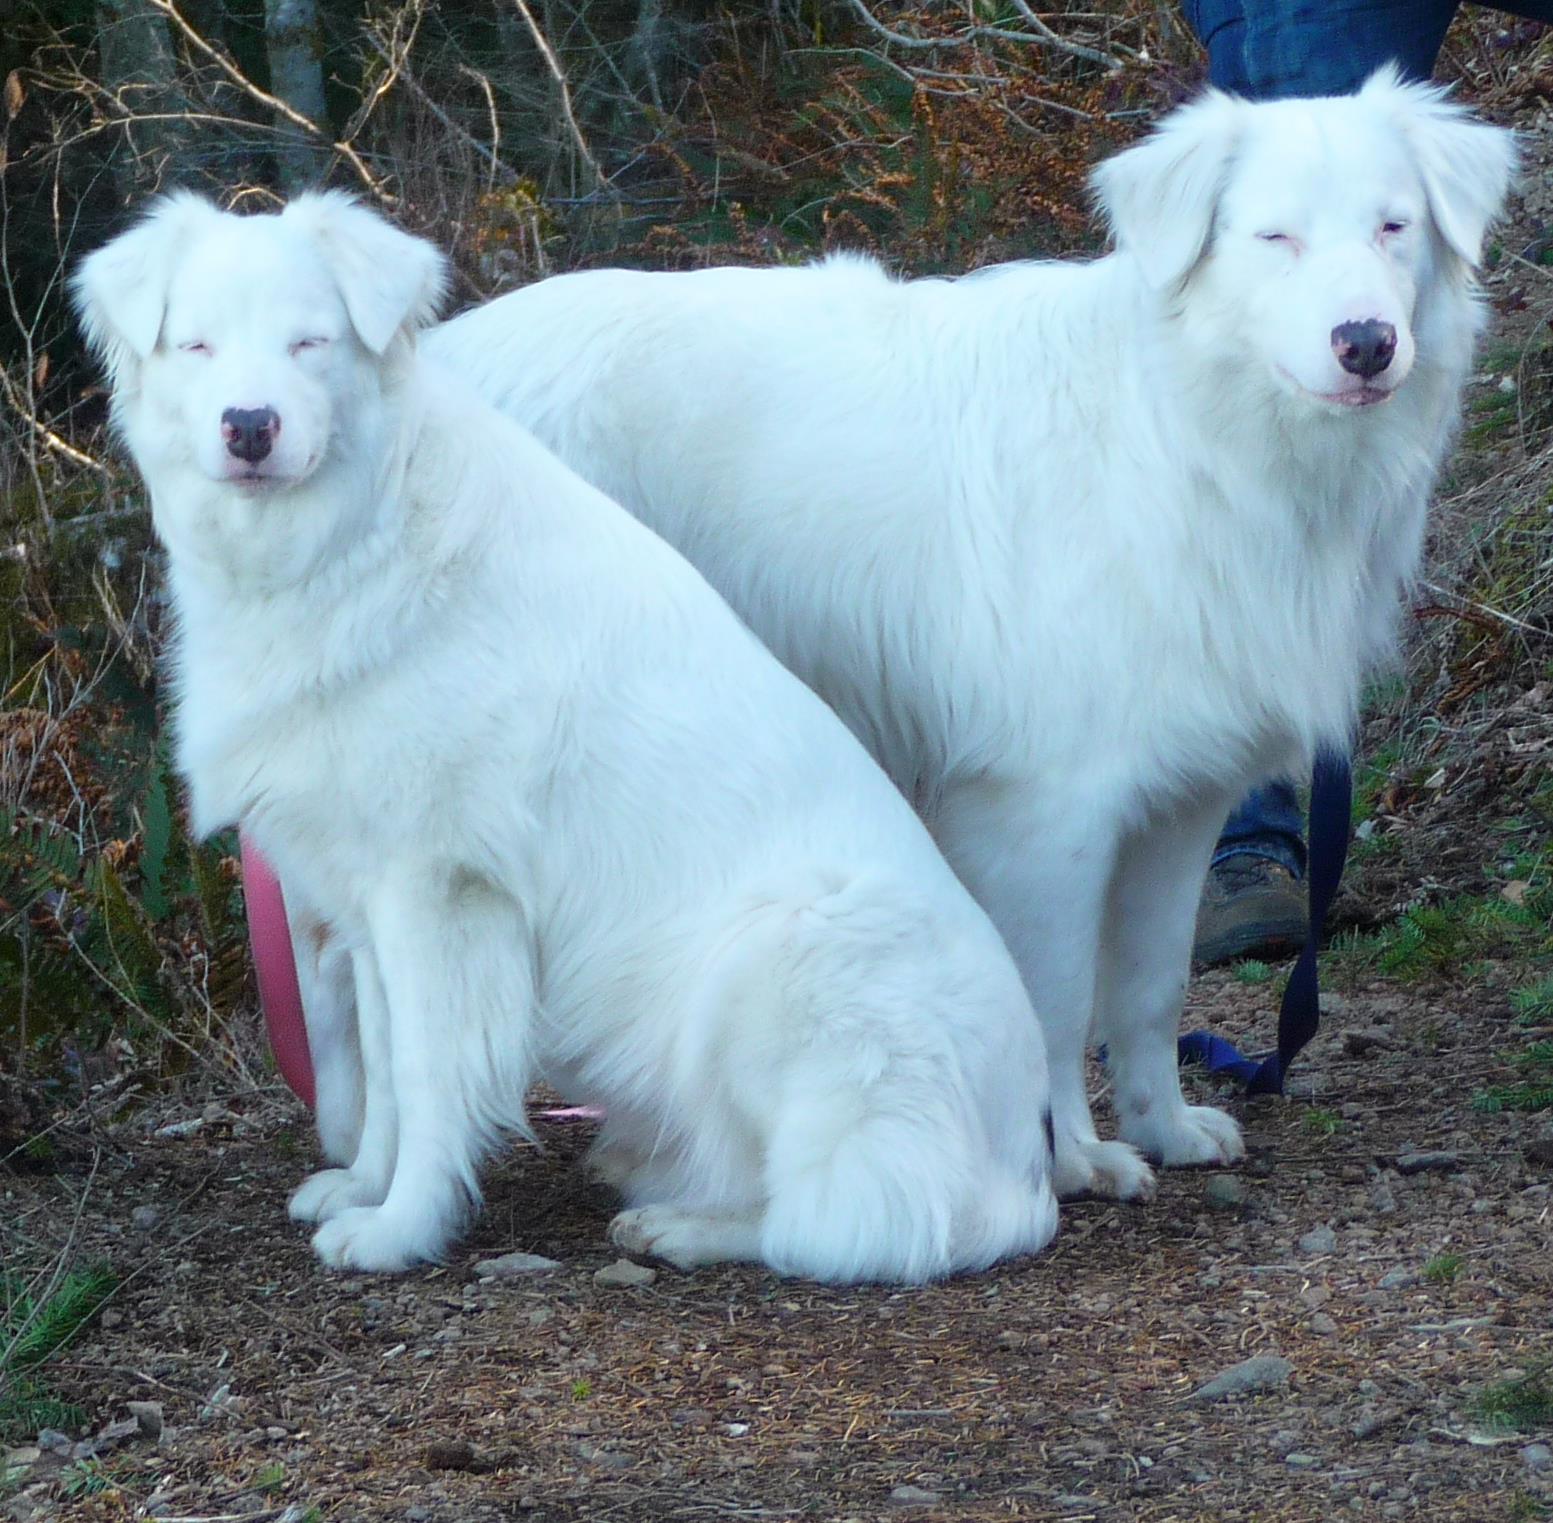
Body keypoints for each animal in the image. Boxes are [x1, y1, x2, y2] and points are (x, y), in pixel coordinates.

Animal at [78, 193, 1062, 1285]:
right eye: (198, 345)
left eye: (309, 342)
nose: (250, 428)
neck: (349, 539)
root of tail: (1023, 1178)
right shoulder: (369, 893)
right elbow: (383, 1065)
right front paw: (364, 1185)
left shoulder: (438, 891)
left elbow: (424, 1073)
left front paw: (400, 1226)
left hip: (766, 960)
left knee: (854, 1215)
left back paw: (690, 1227)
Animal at [434, 71, 1515, 1204]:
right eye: (1275, 238)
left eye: (1392, 227)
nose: (1366, 343)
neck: (1190, 432)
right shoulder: (1045, 812)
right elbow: (1056, 1001)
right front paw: (1071, 1155)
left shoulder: (1179, 803)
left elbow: (1146, 987)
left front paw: (1163, 1125)